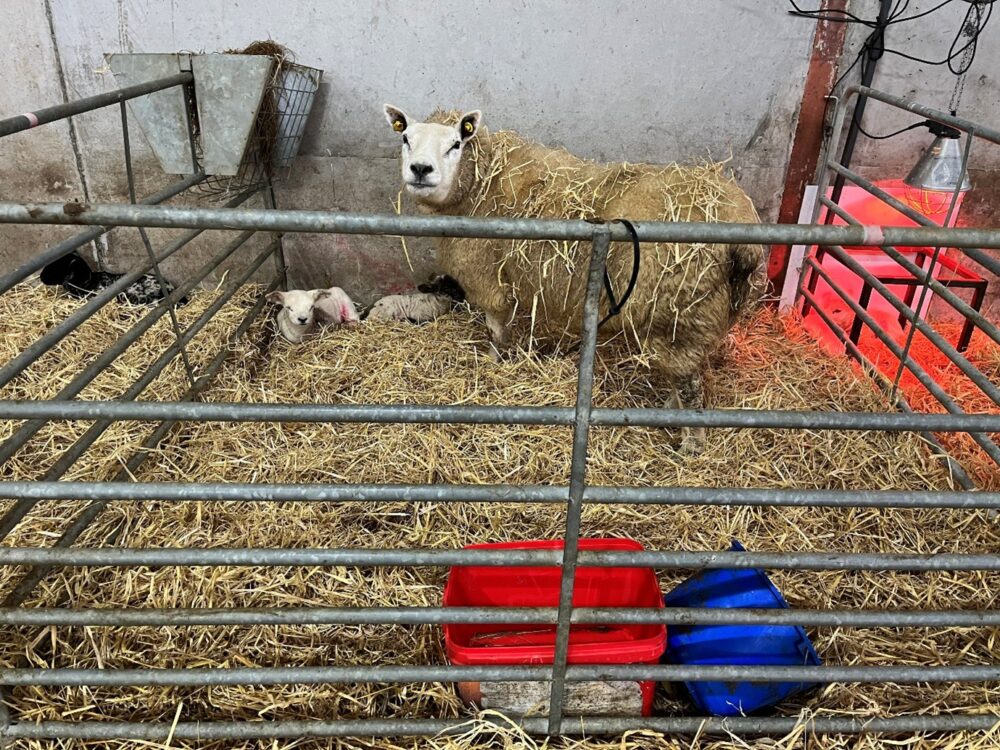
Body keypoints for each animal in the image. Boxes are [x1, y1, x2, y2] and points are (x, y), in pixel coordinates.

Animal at [384, 104, 766, 453]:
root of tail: (739, 223)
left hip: (680, 315)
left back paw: (691, 444)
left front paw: (493, 364)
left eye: (456, 144)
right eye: (405, 139)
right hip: (709, 313)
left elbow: (496, 331)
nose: (420, 169)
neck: (480, 183)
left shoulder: (488, 281)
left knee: (690, 386)